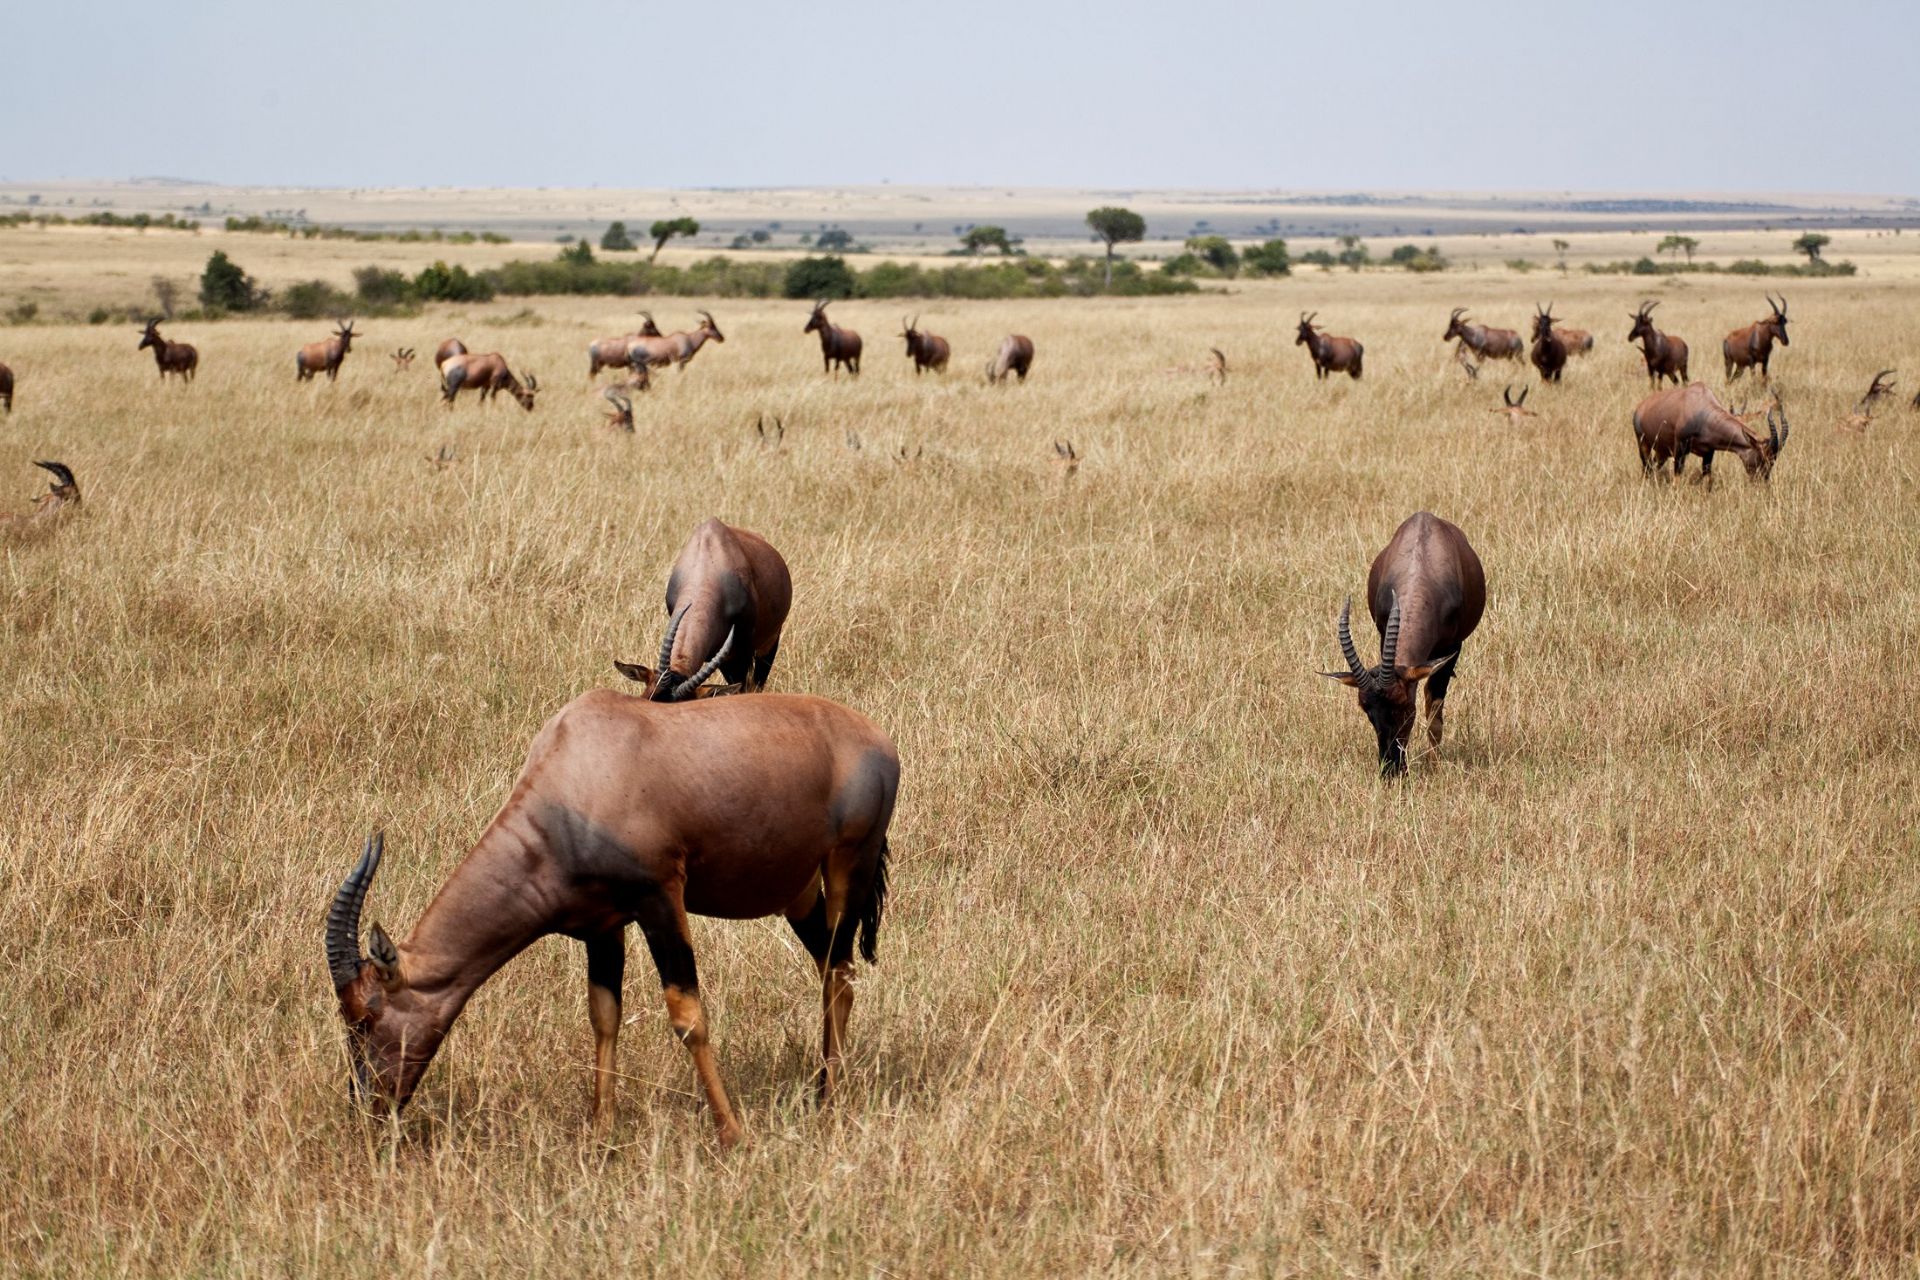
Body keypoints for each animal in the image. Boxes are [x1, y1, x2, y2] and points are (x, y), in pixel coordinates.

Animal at [322, 687, 898, 1143]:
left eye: (365, 1016)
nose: (367, 1112)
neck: (574, 776)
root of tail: (878, 740)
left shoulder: (661, 897)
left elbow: (688, 1017)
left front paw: (734, 1135)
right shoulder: (602, 926)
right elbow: (603, 1015)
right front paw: (601, 1133)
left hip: (849, 865)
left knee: (841, 970)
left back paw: (830, 1100)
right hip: (798, 893)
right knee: (829, 967)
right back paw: (820, 1086)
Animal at [1320, 514, 1482, 775]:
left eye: (1407, 708)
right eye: (1367, 711)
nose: (1391, 771)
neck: (1421, 568)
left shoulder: (1453, 648)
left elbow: (1434, 708)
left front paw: (1434, 767)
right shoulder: (1383, 634)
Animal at [1628, 385, 1789, 485]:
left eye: (1773, 461)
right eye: (1762, 457)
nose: (1762, 484)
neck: (1700, 406)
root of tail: (1640, 408)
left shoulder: (1708, 453)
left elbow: (1707, 481)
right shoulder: (1680, 449)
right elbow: (1677, 480)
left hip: (1662, 452)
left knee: (1653, 467)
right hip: (1643, 445)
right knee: (1647, 468)